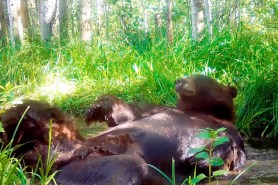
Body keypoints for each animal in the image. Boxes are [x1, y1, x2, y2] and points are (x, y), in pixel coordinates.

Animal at [0, 75, 245, 184]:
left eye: (198, 76)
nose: (178, 80)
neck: (198, 112)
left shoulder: (224, 130)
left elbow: (226, 151)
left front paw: (199, 159)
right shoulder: (160, 109)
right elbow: (126, 115)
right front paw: (97, 108)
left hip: (89, 163)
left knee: (131, 167)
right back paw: (25, 117)